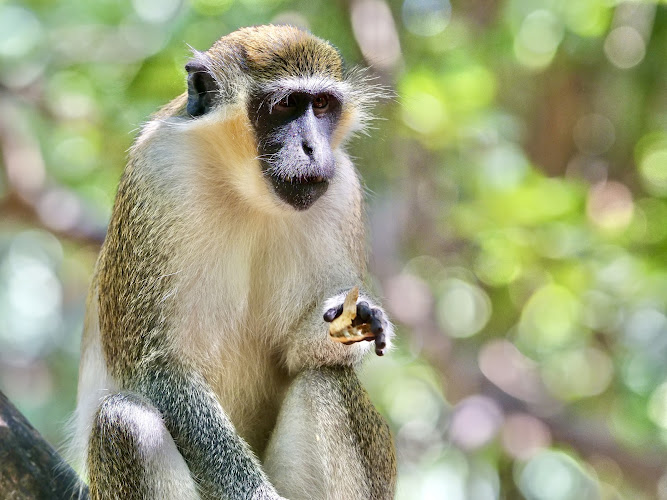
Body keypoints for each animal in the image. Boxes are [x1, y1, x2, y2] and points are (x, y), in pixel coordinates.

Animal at [70, 25, 396, 500]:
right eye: (286, 105)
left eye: (321, 105)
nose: (312, 148)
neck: (245, 191)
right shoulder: (157, 171)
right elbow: (156, 371)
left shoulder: (342, 193)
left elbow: (299, 357)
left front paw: (356, 318)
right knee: (125, 421)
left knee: (326, 381)